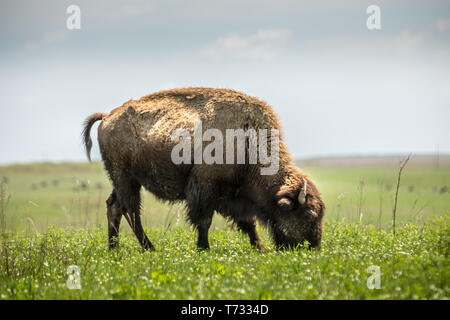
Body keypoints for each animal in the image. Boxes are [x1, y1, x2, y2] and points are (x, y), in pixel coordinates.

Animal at [82, 88, 324, 252]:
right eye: (309, 214)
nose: (314, 247)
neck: (248, 140)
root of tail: (107, 116)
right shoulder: (205, 189)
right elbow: (204, 220)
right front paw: (203, 247)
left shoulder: (235, 195)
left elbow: (248, 222)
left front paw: (260, 248)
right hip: (125, 178)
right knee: (131, 211)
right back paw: (149, 248)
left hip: (121, 179)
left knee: (114, 206)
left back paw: (114, 248)